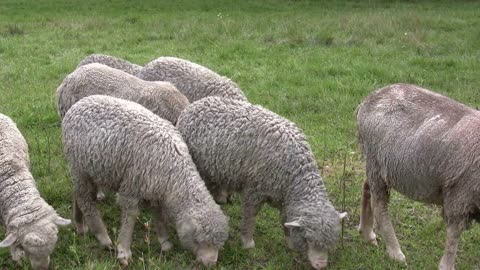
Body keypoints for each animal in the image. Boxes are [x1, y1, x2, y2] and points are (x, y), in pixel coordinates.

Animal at [61, 95, 230, 266]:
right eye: (199, 240)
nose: (211, 263)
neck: (174, 172)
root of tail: (80, 103)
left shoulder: (154, 189)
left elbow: (158, 214)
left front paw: (165, 241)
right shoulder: (132, 187)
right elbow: (130, 216)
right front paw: (123, 251)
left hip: (90, 169)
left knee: (78, 193)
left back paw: (80, 224)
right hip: (79, 166)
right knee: (85, 200)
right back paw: (103, 237)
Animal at [176, 96, 344, 268]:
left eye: (331, 242)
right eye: (308, 239)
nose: (321, 265)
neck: (295, 171)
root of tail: (195, 104)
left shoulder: (284, 199)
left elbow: (285, 219)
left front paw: (289, 242)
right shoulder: (254, 190)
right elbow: (250, 216)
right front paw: (247, 242)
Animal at [354, 83, 480, 270]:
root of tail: (369, 99)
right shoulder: (460, 196)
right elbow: (453, 236)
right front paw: (446, 265)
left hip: (374, 165)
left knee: (366, 187)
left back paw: (367, 234)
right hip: (376, 160)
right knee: (378, 205)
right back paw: (395, 253)